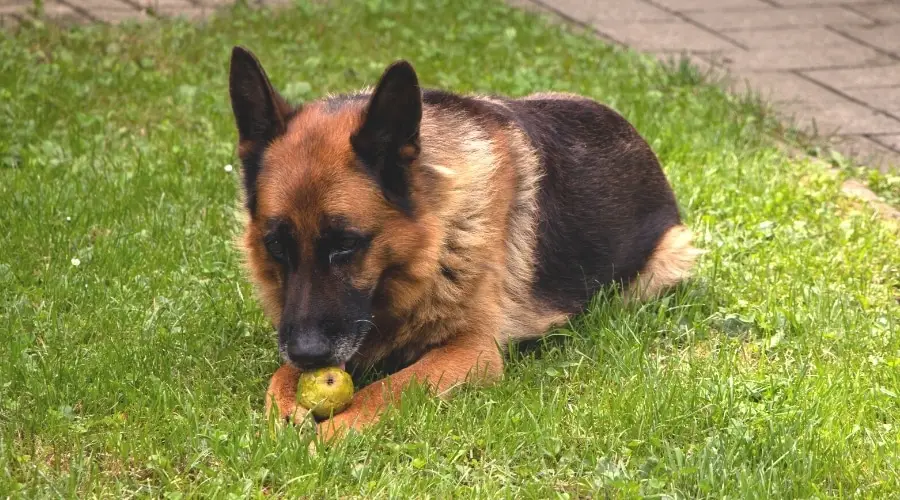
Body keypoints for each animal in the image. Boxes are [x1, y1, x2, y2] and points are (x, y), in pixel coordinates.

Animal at [227, 45, 704, 440]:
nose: (308, 355)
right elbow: (279, 375)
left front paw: (327, 433)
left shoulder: (472, 352)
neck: (434, 243)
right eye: (276, 245)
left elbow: (390, 389)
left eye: (346, 244)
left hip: (664, 262)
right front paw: (284, 406)